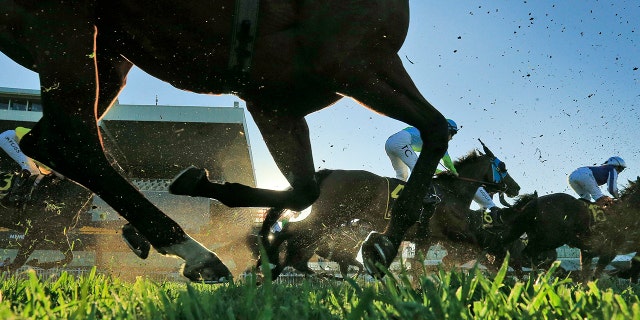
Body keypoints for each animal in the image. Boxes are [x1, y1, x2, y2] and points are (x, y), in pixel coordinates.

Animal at [0, 0, 450, 280]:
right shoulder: (359, 65)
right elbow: (436, 129)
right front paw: (383, 245)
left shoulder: (276, 103)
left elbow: (304, 190)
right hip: (62, 25)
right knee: (70, 139)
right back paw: (193, 251)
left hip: (105, 51)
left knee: (51, 142)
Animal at [258, 146, 524, 278]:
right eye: (502, 167)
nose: (516, 187)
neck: (453, 192)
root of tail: (330, 172)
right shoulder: (458, 233)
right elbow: (483, 251)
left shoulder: (426, 238)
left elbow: (418, 266)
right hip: (328, 214)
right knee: (292, 230)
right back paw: (272, 261)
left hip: (329, 218)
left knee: (295, 234)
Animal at [504, 179, 640, 282]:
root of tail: (533, 203)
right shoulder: (610, 250)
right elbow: (595, 274)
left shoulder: (588, 252)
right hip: (550, 239)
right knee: (527, 255)